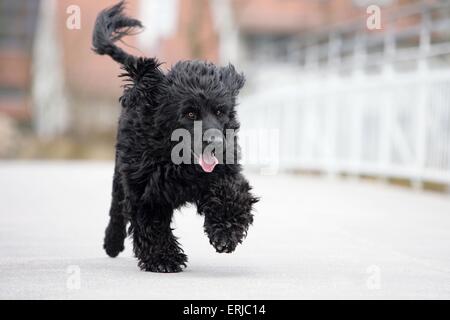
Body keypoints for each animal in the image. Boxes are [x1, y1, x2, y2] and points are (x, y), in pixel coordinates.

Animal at [92, 1, 256, 272]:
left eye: (220, 111)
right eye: (189, 113)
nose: (216, 144)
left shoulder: (225, 171)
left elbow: (231, 193)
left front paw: (225, 232)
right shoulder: (144, 187)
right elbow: (150, 223)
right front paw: (163, 258)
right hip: (120, 172)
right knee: (116, 208)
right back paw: (112, 242)